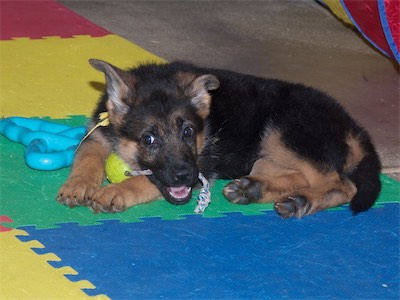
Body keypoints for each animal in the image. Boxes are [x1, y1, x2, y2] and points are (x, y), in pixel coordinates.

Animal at [57, 59, 382, 218]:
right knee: (304, 177)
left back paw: (300, 201)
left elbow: (146, 179)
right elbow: (86, 154)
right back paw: (254, 190)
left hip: (287, 131)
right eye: (148, 139)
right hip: (267, 154)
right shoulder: (98, 133)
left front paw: (116, 191)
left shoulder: (201, 164)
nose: (185, 176)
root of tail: (353, 126)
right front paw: (78, 185)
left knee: (342, 185)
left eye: (188, 132)